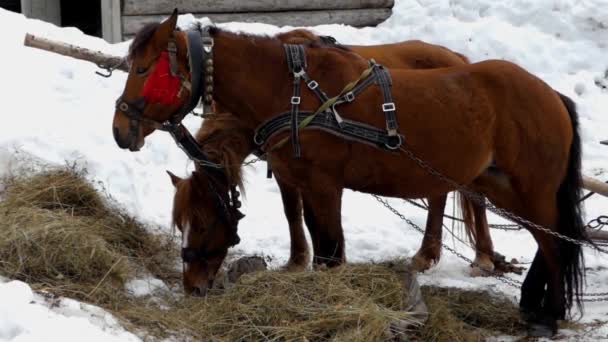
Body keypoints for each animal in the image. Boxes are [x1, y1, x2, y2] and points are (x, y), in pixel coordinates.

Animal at [110, 12, 588, 336]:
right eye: (182, 224)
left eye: (142, 69)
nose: (119, 130)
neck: (292, 90)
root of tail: (551, 93)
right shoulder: (298, 179)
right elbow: (306, 230)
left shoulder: (325, 185)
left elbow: (330, 250)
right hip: (501, 184)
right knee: (540, 239)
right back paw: (527, 302)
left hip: (532, 188)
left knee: (554, 242)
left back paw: (546, 314)